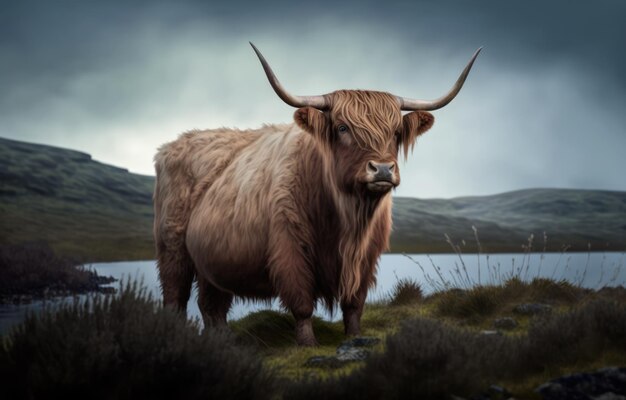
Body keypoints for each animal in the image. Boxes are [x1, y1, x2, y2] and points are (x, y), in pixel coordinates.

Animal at [152, 43, 478, 344]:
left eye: (396, 132)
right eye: (343, 128)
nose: (383, 169)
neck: (347, 216)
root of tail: (172, 145)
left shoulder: (367, 258)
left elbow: (354, 304)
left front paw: (354, 337)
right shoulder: (289, 250)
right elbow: (302, 304)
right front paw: (307, 343)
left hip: (211, 261)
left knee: (212, 305)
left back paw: (222, 342)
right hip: (173, 250)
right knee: (176, 298)